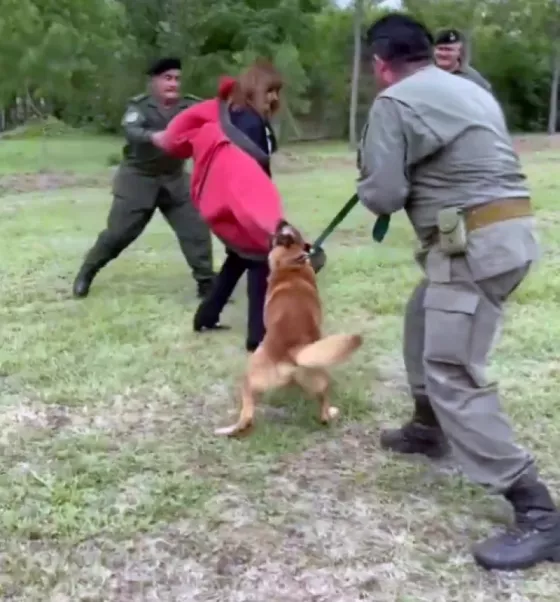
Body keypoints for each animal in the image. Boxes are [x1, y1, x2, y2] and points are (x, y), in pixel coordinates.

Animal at [214, 218, 364, 434]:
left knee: (248, 413)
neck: (293, 264)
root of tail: (293, 350)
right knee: (322, 409)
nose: (281, 220)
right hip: (314, 376)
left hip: (250, 375)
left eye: (279, 230)